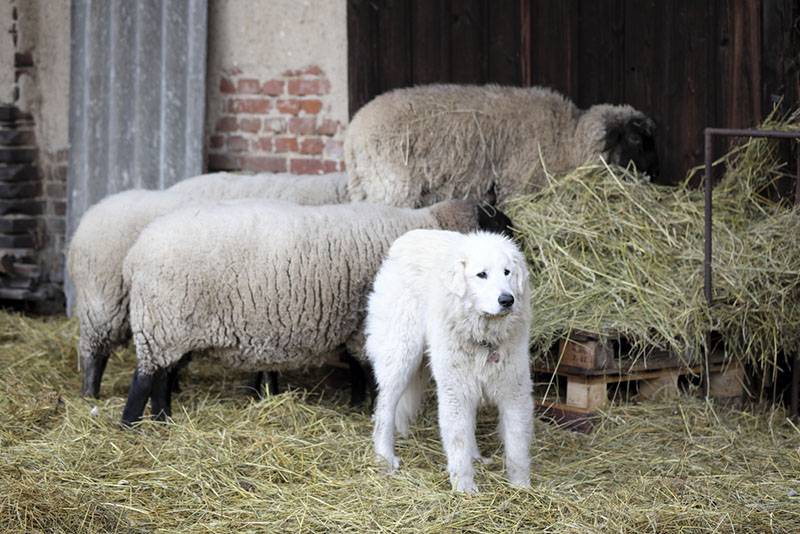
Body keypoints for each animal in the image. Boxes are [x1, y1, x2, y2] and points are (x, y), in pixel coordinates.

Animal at [118, 198, 506, 428]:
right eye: (500, 225)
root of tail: (134, 255)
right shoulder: (365, 323)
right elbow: (370, 370)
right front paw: (371, 408)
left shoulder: (354, 324)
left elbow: (359, 367)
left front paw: (357, 403)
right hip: (162, 323)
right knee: (145, 378)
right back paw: (130, 425)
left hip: (170, 329)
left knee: (162, 376)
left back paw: (164, 419)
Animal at [346, 85, 660, 208]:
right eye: (635, 139)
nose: (655, 174)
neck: (566, 138)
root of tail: (353, 134)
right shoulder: (518, 185)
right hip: (392, 188)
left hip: (367, 187)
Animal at [368, 230, 532, 494]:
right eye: (482, 274)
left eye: (507, 272)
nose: (507, 300)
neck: (484, 339)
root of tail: (406, 238)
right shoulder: (455, 391)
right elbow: (457, 443)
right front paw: (464, 488)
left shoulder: (514, 391)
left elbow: (517, 447)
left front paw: (521, 487)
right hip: (401, 357)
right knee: (384, 410)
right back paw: (385, 458)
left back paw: (477, 456)